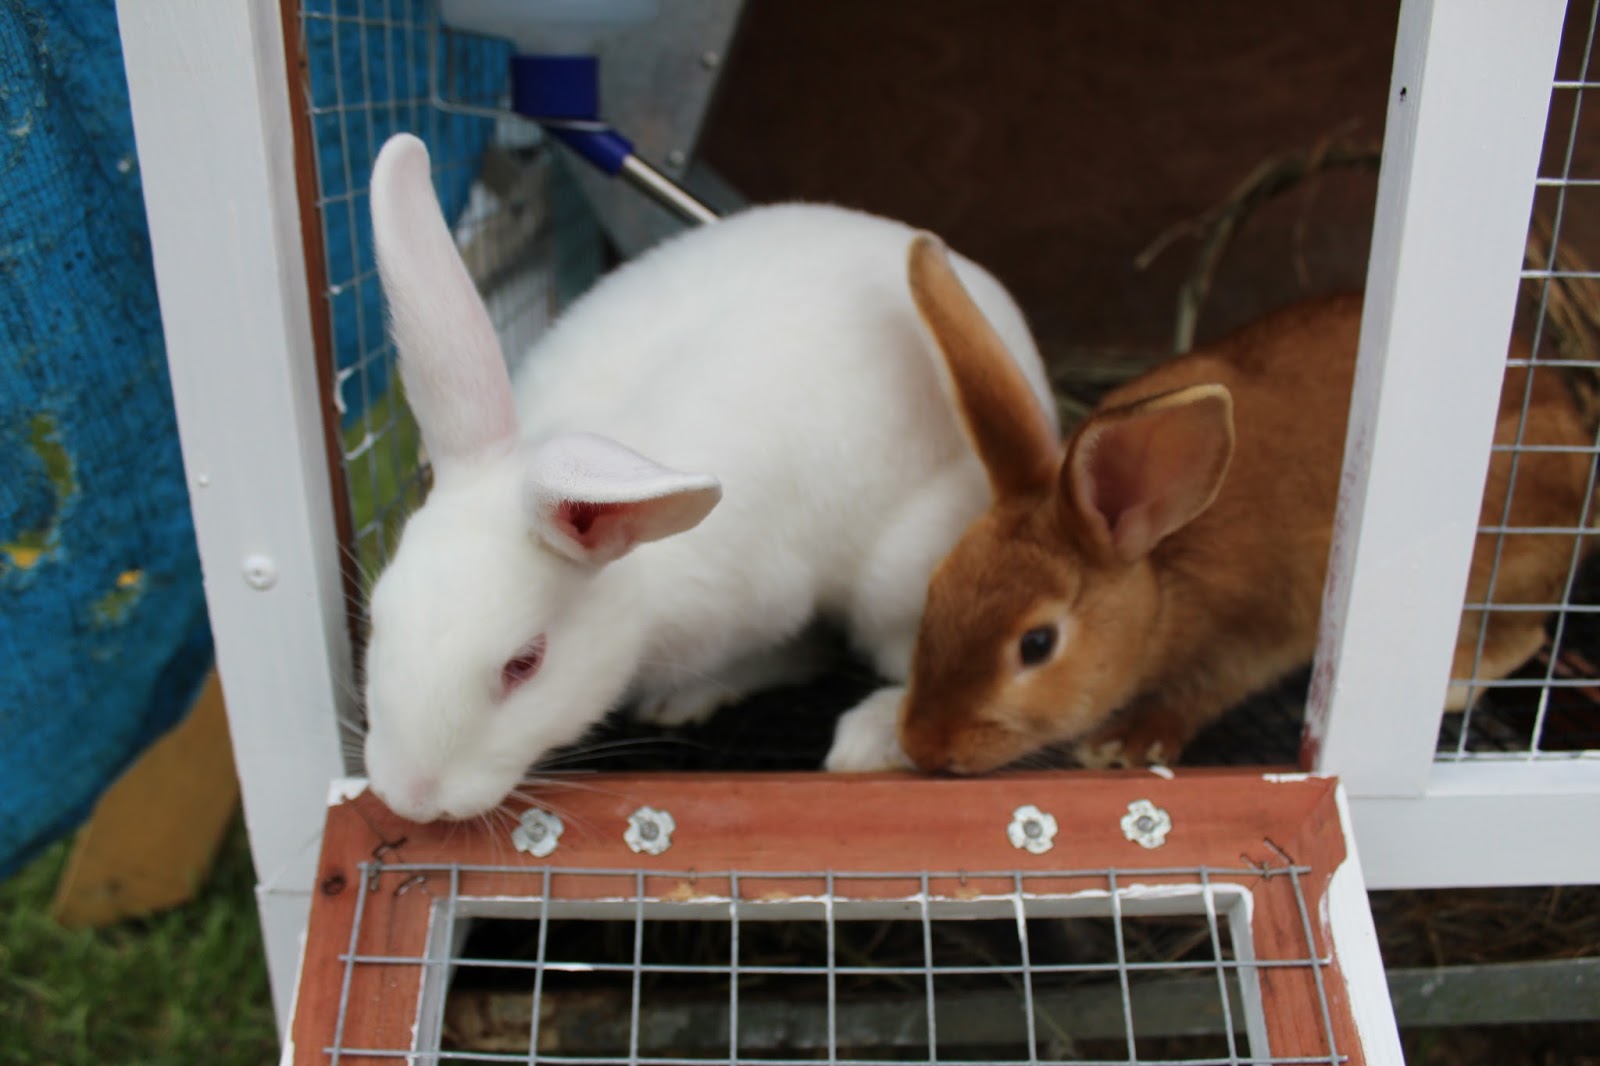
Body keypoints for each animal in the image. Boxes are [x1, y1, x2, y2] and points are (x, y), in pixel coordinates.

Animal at [359, 133, 1056, 821]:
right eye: (377, 617)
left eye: (524, 664)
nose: (409, 798)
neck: (636, 584)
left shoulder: (766, 604)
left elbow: (786, 655)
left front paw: (682, 701)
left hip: (897, 578)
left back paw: (870, 735)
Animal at [895, 234, 1595, 774]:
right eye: (936, 590)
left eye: (1036, 645)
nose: (923, 746)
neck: (1162, 569)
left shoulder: (1255, 633)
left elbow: (1205, 690)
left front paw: (1123, 745)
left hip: (1503, 556)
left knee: (1523, 633)